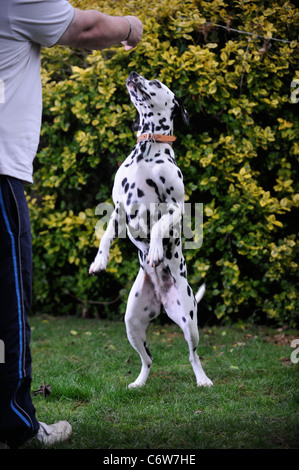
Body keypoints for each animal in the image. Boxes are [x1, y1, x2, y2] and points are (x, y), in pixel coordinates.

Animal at [89, 72, 213, 390]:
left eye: (155, 82)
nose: (133, 74)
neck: (147, 152)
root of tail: (162, 299)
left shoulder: (176, 207)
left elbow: (158, 225)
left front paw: (157, 251)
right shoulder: (119, 208)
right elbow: (106, 234)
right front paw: (100, 261)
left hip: (190, 322)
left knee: (193, 355)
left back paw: (203, 379)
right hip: (132, 324)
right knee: (148, 359)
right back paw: (139, 383)